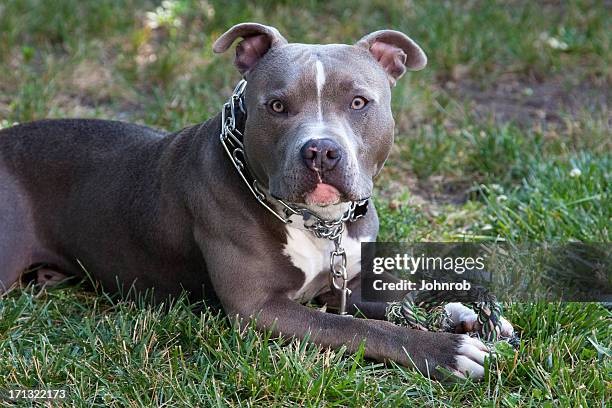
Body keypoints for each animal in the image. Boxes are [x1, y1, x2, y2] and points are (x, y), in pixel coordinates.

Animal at [1, 22, 506, 380]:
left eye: (359, 103)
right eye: (277, 106)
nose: (321, 150)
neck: (315, 221)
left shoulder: (344, 285)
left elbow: (396, 301)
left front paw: (463, 314)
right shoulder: (259, 309)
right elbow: (358, 327)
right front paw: (446, 351)